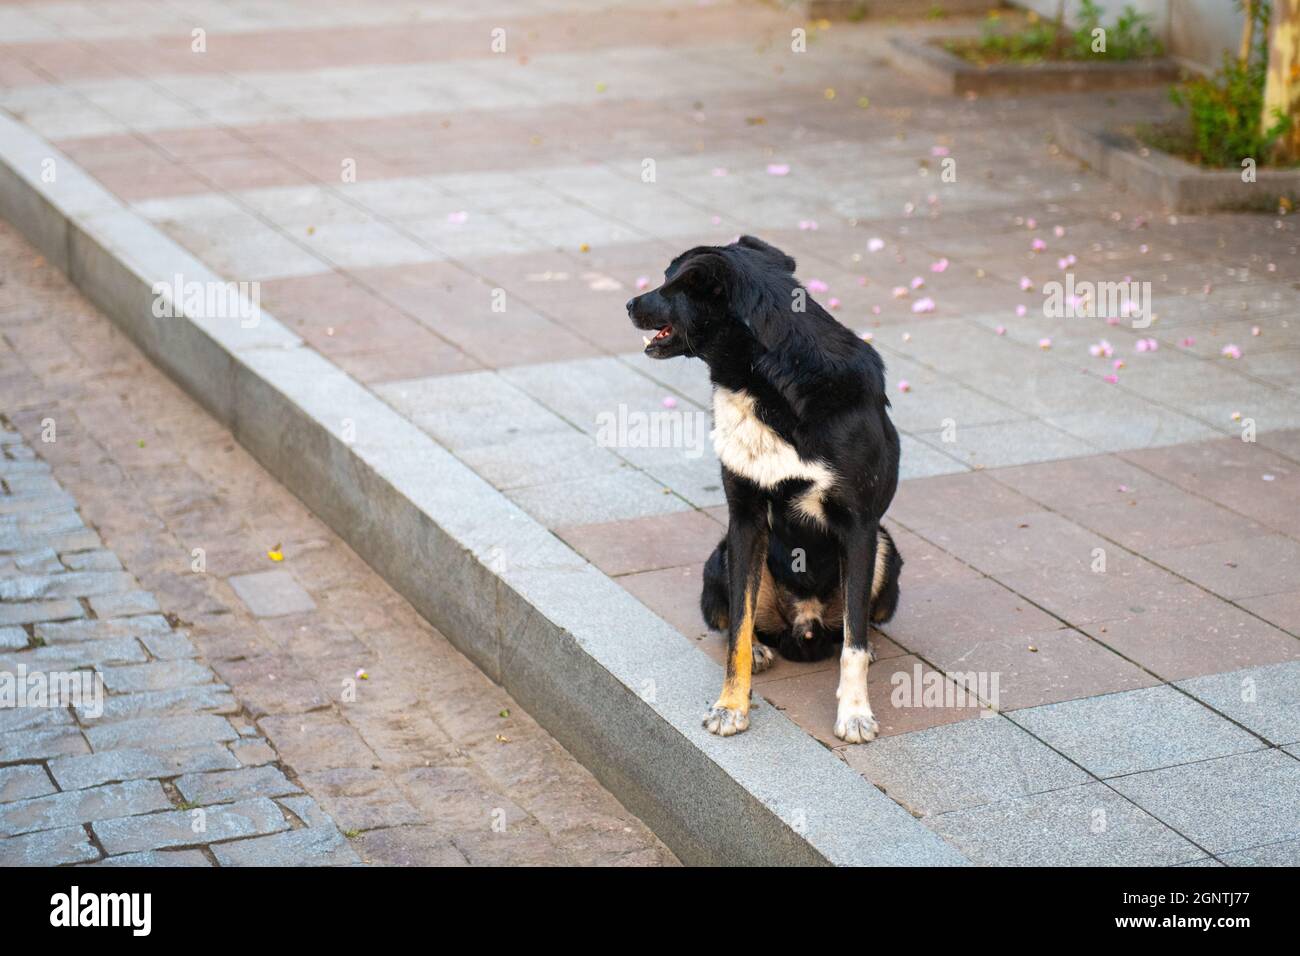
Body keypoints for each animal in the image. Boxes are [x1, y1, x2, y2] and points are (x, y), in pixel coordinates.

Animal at [624, 235, 899, 743]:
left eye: (673, 284)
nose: (629, 304)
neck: (771, 380)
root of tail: (805, 625)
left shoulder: (860, 527)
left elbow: (852, 642)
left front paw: (854, 712)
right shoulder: (746, 520)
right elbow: (737, 627)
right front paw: (731, 705)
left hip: (886, 550)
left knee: (854, 626)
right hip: (721, 554)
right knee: (739, 616)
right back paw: (760, 648)